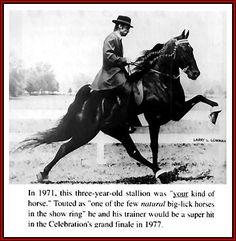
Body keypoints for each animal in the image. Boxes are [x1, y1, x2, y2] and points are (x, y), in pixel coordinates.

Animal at [20, 30, 221, 182]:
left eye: (192, 49)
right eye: (184, 50)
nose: (195, 73)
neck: (160, 81)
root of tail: (88, 98)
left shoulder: (176, 113)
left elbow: (200, 97)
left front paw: (215, 112)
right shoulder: (156, 120)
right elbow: (154, 146)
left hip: (112, 130)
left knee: (126, 151)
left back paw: (43, 174)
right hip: (89, 131)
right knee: (68, 148)